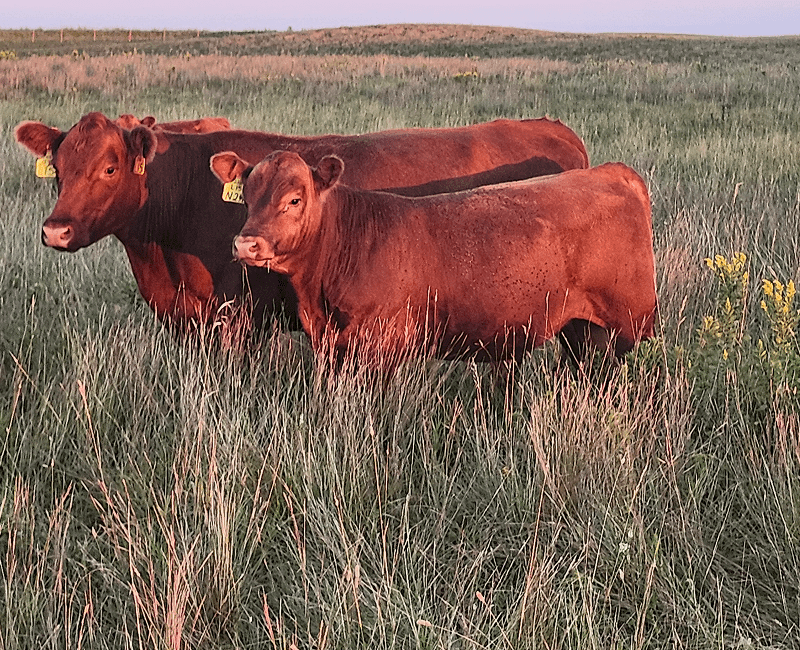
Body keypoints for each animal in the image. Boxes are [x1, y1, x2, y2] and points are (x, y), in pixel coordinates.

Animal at [215, 150, 656, 370]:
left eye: (294, 199)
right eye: (247, 196)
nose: (246, 245)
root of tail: (612, 172)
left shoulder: (380, 349)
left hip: (629, 324)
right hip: (584, 330)